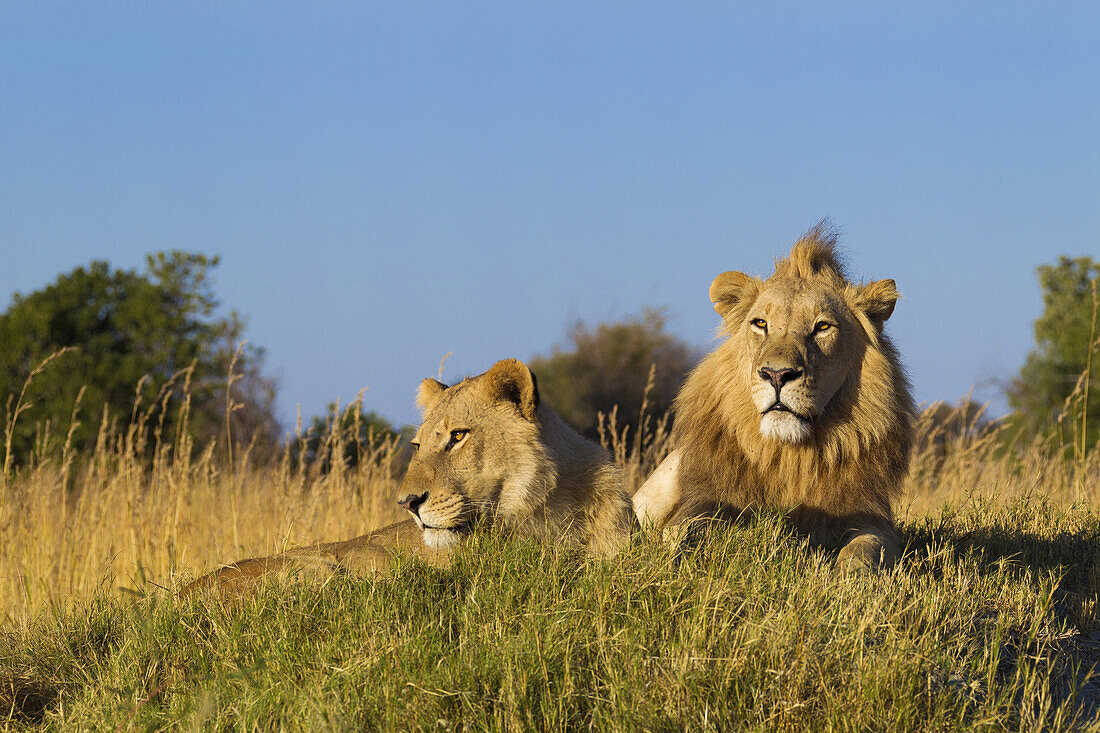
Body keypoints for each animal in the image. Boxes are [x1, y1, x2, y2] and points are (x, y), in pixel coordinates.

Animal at [633, 225, 915, 567]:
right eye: (760, 324)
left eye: (822, 327)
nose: (777, 375)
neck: (790, 458)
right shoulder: (705, 498)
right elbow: (689, 527)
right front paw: (676, 557)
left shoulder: (872, 516)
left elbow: (867, 547)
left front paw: (850, 574)